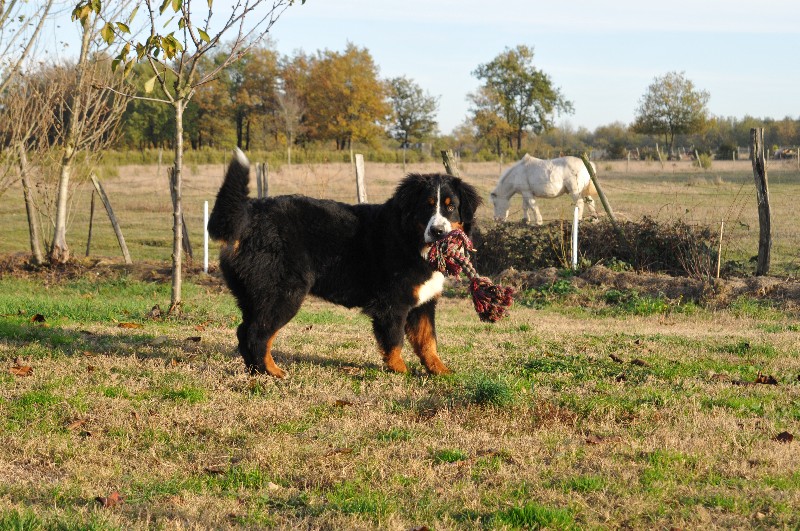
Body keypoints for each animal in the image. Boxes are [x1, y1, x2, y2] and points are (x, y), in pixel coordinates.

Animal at [208, 150, 482, 378]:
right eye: (426, 207)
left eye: (451, 208)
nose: (438, 232)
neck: (409, 239)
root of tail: (248, 216)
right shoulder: (392, 302)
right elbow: (394, 340)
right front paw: (399, 371)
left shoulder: (423, 302)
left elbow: (428, 341)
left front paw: (440, 370)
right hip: (283, 293)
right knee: (257, 335)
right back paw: (272, 371)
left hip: (253, 296)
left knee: (244, 332)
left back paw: (255, 371)